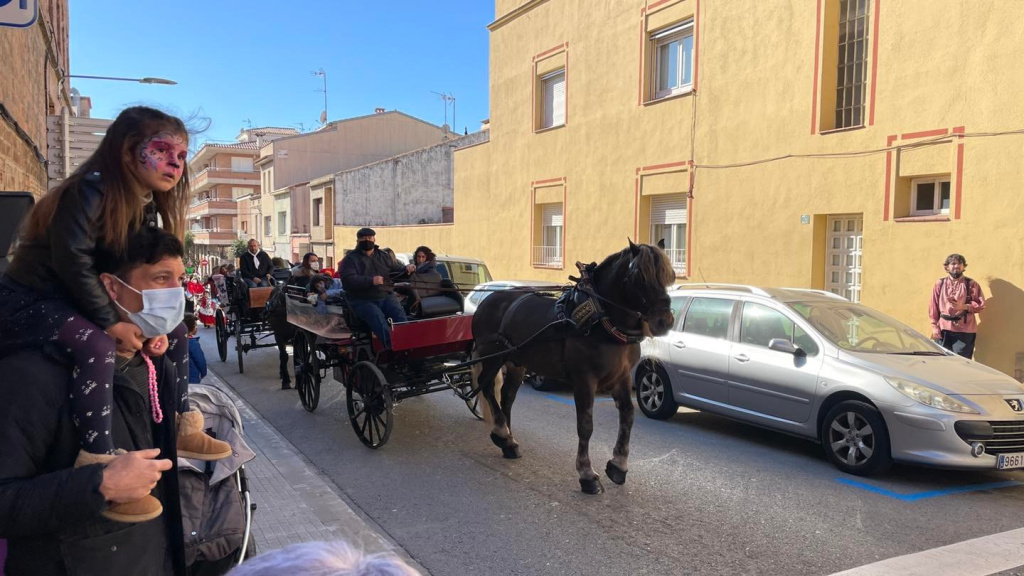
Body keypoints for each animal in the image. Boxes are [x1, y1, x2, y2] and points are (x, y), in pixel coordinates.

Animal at [471, 239, 679, 491]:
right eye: (640, 277)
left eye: (670, 276)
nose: (664, 322)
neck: (601, 319)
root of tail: (488, 299)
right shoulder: (584, 379)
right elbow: (586, 424)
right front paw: (587, 473)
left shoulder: (621, 377)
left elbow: (628, 416)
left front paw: (618, 465)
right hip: (492, 357)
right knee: (487, 388)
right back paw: (502, 431)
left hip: (516, 363)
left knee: (507, 398)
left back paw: (508, 442)